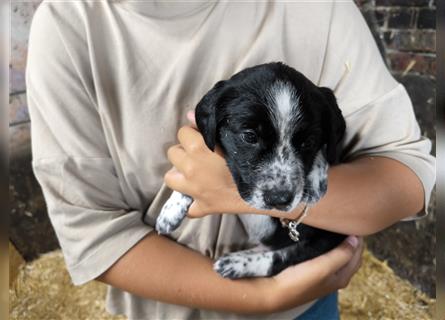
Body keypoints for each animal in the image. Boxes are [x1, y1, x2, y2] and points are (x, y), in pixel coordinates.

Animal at [154, 62, 346, 278]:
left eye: (309, 142)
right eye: (249, 136)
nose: (279, 199)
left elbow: (328, 151)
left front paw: (316, 182)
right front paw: (171, 210)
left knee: (281, 258)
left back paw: (236, 263)